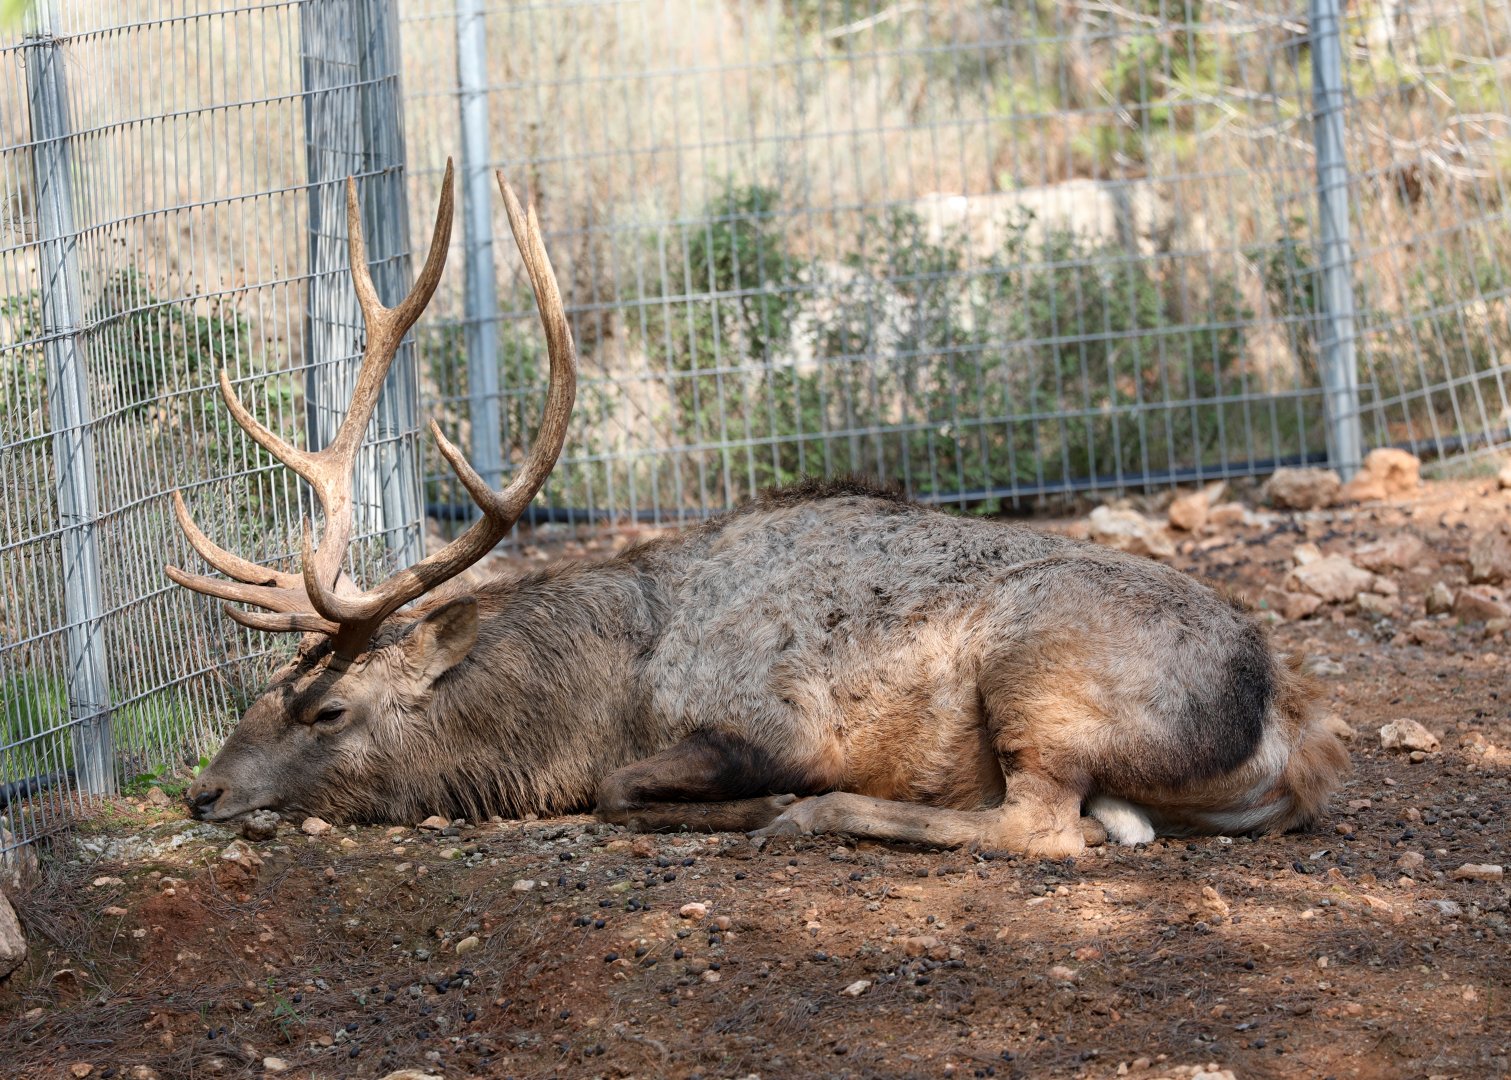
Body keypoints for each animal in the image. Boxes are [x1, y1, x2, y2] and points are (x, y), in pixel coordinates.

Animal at [171, 163, 1350, 858]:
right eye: (267, 690)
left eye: (328, 711)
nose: (203, 792)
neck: (591, 695)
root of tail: (1290, 731)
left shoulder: (768, 720)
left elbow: (624, 788)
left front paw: (767, 806)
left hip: (1041, 673)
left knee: (1046, 828)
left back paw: (821, 816)